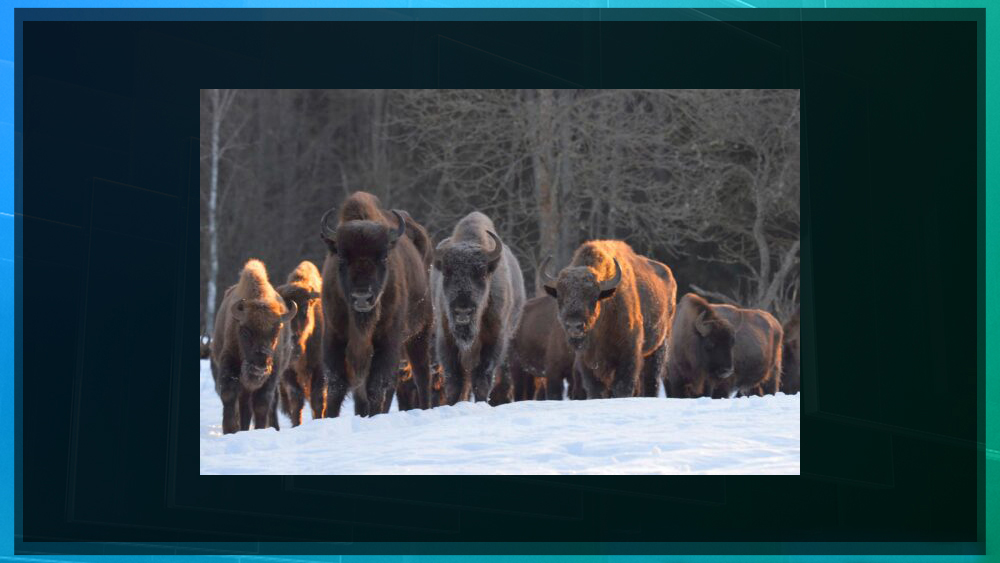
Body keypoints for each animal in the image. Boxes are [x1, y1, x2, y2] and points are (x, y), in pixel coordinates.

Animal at [207, 258, 292, 434]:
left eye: (276, 332)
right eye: (245, 331)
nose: (259, 366)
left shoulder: (273, 373)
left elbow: (262, 403)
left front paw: (260, 429)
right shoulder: (230, 362)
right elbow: (229, 394)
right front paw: (230, 429)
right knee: (244, 405)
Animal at [272, 262, 322, 426]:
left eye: (305, 308)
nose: (292, 341)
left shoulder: (320, 368)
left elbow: (318, 398)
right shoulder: (288, 371)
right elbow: (296, 399)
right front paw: (296, 424)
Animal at [318, 192, 432, 416]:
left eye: (383, 257)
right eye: (341, 258)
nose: (362, 297)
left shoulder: (387, 339)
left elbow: (376, 385)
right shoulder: (334, 336)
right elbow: (336, 384)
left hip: (419, 334)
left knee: (421, 375)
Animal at [432, 213, 528, 406]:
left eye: (482, 274)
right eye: (446, 273)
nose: (462, 311)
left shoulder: (494, 340)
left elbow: (482, 378)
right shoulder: (446, 338)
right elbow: (454, 380)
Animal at [540, 242, 680, 400]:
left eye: (593, 296)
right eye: (560, 295)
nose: (574, 326)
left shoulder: (628, 353)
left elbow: (622, 386)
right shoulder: (586, 360)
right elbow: (595, 388)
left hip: (660, 344)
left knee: (652, 378)